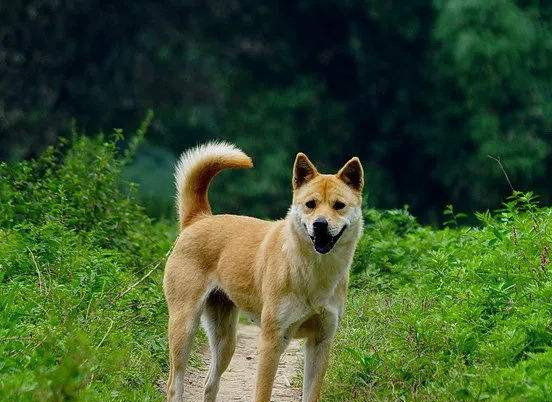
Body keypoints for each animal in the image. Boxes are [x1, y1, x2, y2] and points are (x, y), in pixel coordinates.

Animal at [163, 142, 362, 402]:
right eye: (310, 204)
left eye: (339, 205)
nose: (320, 224)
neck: (313, 271)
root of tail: (199, 219)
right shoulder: (272, 341)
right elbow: (262, 392)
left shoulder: (320, 343)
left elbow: (311, 394)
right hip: (184, 326)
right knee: (174, 385)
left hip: (225, 340)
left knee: (210, 384)